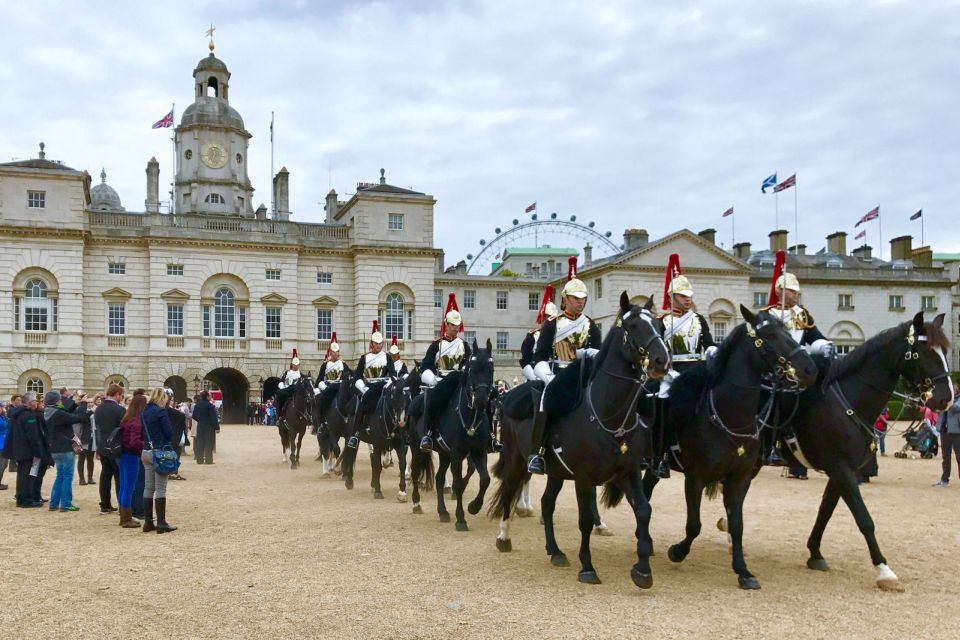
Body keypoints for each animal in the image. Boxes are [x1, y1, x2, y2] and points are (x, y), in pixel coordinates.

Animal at [488, 292, 668, 588]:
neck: (609, 416)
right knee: (509, 489)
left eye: (659, 326)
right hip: (516, 459)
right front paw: (587, 567)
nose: (661, 361)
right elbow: (584, 520)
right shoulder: (584, 477)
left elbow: (644, 511)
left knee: (547, 504)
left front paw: (642, 569)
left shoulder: (628, 473)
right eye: (632, 327)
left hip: (556, 471)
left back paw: (555, 551)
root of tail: (511, 396)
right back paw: (504, 537)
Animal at [636, 304, 816, 592]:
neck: (729, 416)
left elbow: (737, 524)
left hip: (657, 463)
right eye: (769, 335)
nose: (810, 370)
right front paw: (677, 551)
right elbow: (694, 525)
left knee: (647, 489)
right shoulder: (695, 478)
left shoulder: (740, 479)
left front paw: (743, 570)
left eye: (788, 331)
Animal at [780, 312, 952, 592]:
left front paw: (815, 552)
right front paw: (883, 569)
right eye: (925, 350)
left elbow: (825, 510)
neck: (846, 399)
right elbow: (864, 518)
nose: (946, 400)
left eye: (945, 351)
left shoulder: (841, 470)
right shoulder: (842, 470)